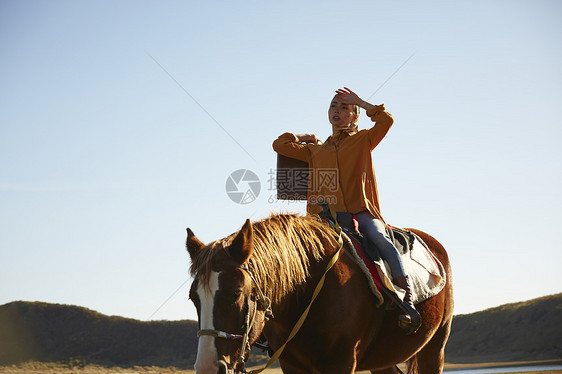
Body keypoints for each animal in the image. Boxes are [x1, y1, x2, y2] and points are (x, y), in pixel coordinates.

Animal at [186, 213, 452, 374]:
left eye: (236, 293)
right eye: (194, 299)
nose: (207, 367)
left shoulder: (341, 363)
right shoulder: (291, 366)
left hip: (434, 347)